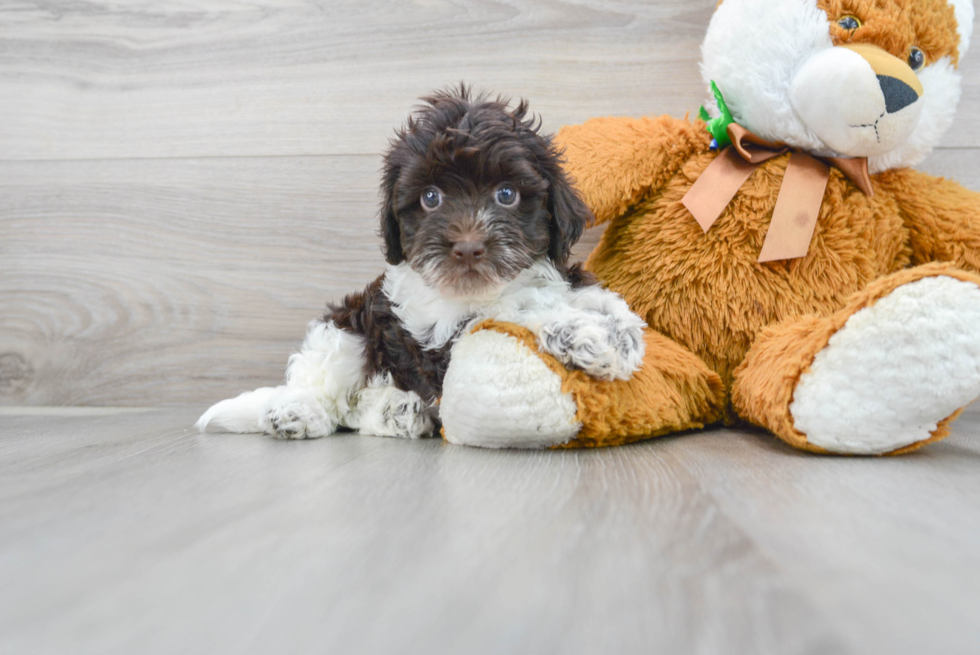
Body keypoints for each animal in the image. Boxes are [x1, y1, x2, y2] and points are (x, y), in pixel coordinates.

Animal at [196, 84, 648, 438]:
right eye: (431, 198)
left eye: (507, 194)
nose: (467, 247)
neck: (479, 291)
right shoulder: (437, 336)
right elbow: (513, 309)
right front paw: (582, 332)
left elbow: (586, 298)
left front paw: (615, 333)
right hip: (349, 326)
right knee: (329, 389)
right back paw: (299, 411)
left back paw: (398, 411)